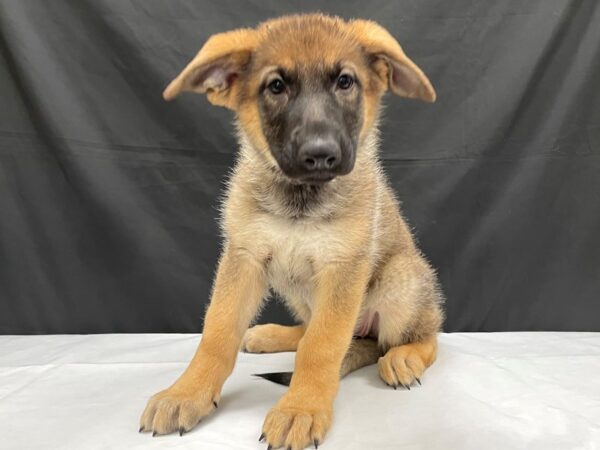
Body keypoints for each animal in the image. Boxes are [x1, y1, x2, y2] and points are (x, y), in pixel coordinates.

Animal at [138, 12, 442, 448]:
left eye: (345, 82)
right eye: (276, 86)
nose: (320, 154)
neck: (299, 201)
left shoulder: (343, 268)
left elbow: (322, 346)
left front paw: (301, 409)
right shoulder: (243, 257)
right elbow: (217, 332)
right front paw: (186, 393)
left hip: (400, 279)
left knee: (420, 336)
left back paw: (405, 357)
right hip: (296, 288)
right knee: (309, 329)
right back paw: (272, 335)